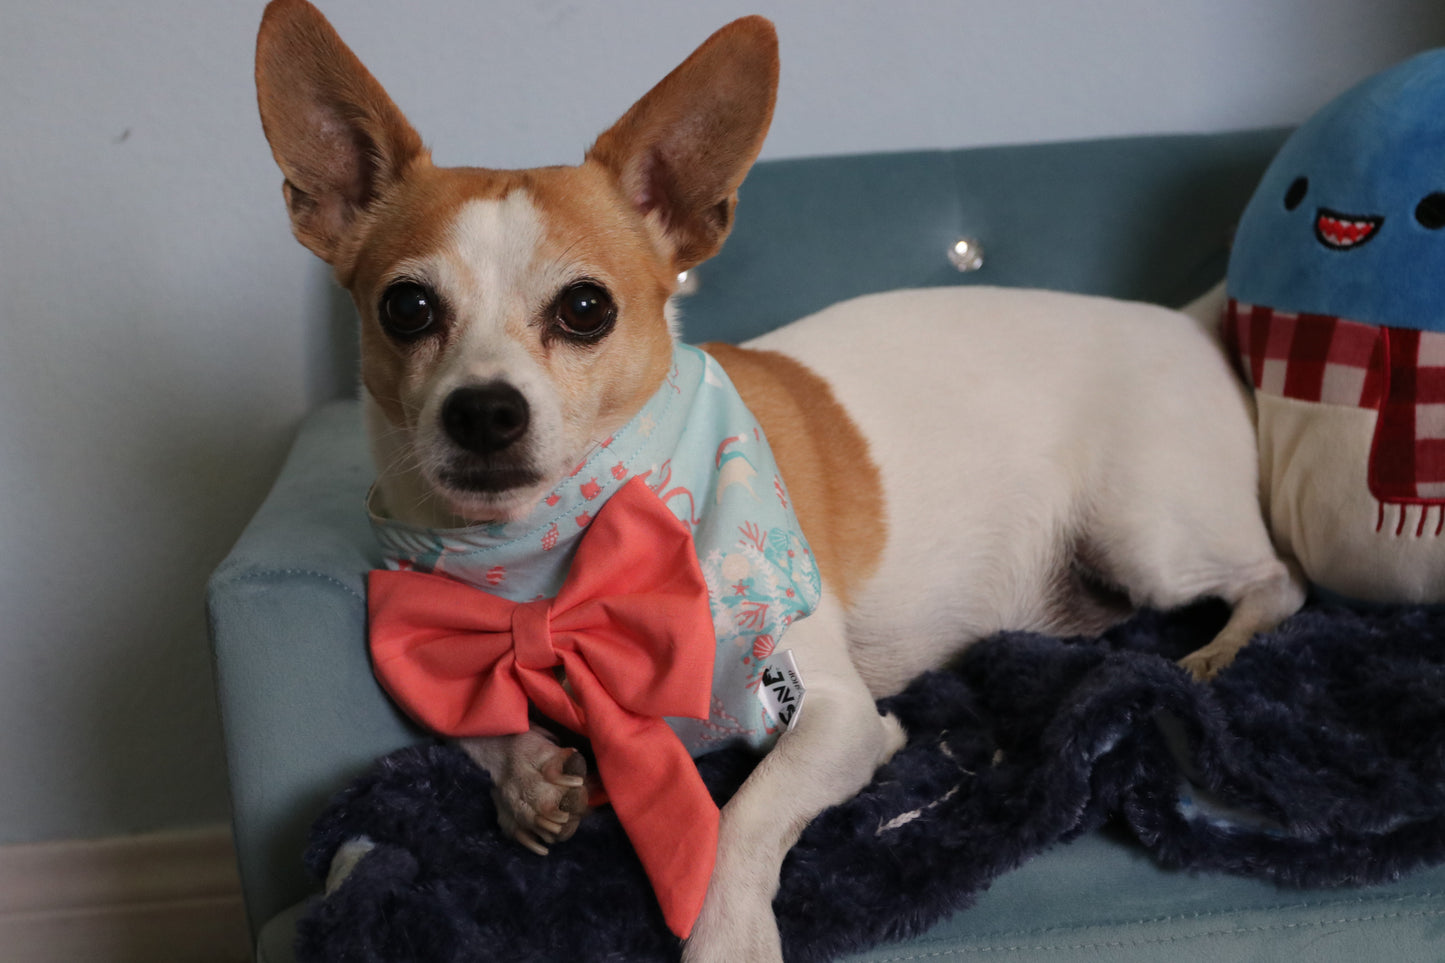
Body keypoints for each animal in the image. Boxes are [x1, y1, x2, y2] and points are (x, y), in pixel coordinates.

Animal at [254, 3, 1306, 954]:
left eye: (586, 309)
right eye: (406, 308)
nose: (483, 410)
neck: (542, 565)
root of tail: (1178, 318)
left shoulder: (836, 716)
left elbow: (740, 818)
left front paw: (726, 935)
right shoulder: (434, 642)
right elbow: (468, 723)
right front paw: (528, 770)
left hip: (1146, 538)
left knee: (1278, 582)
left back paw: (1217, 650)